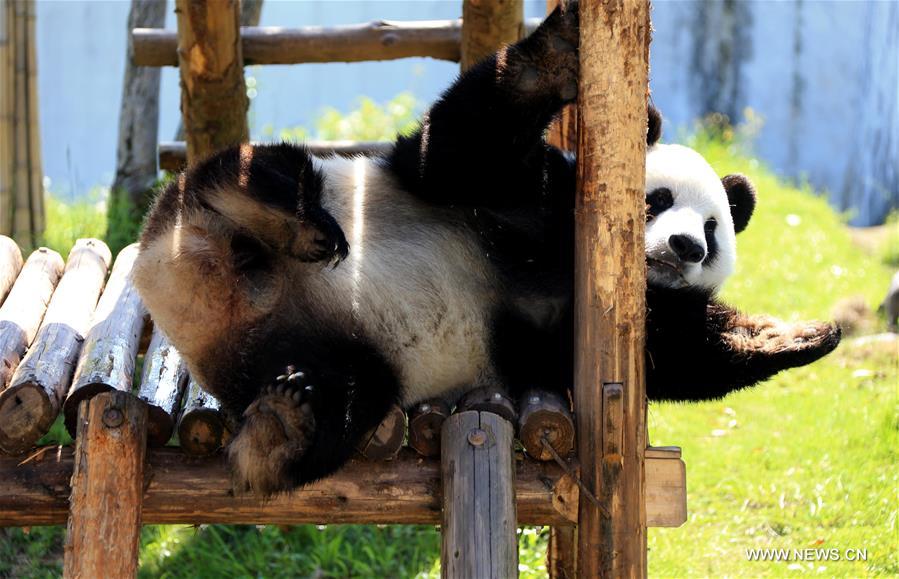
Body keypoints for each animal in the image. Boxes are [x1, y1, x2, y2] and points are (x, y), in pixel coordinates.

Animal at [133, 3, 840, 494]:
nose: (686, 246)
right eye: (657, 200)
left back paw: (282, 428)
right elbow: (452, 153)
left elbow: (689, 355)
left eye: (714, 229)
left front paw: (810, 333)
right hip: (229, 205)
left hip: (310, 353)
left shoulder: (593, 328)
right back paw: (295, 224)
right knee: (251, 172)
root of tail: (180, 290)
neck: (561, 258)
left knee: (346, 398)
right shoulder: (525, 193)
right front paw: (556, 53)